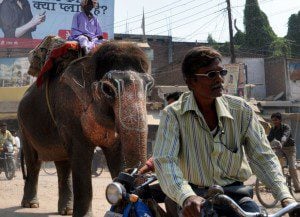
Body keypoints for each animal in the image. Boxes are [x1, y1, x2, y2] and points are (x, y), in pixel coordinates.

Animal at [17, 40, 154, 215]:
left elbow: (117, 154)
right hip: (23, 126)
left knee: (63, 163)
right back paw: (31, 204)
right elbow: (81, 153)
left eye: (149, 87)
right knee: (33, 161)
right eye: (107, 89)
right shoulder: (69, 111)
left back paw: (66, 211)